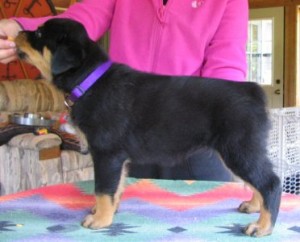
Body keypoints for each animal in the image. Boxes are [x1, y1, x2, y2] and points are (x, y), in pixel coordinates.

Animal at [14, 18, 282, 236]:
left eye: (39, 33)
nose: (17, 32)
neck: (89, 81)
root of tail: (253, 91)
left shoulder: (106, 153)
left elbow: (103, 188)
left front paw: (100, 220)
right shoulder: (117, 158)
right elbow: (116, 187)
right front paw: (108, 211)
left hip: (239, 149)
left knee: (269, 182)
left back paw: (263, 226)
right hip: (241, 151)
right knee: (258, 181)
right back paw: (253, 206)